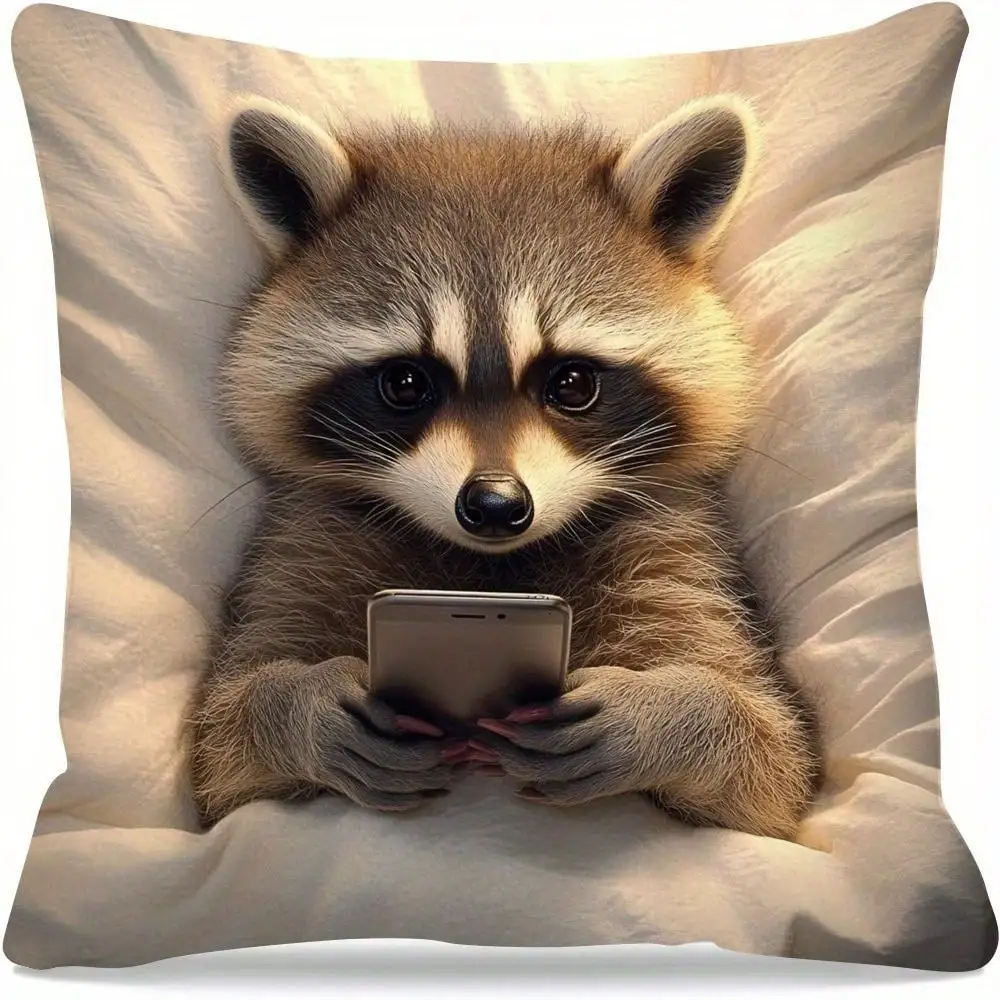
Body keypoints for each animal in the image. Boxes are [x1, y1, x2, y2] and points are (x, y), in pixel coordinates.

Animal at [185, 93, 822, 840]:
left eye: (572, 383)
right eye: (405, 384)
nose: (495, 504)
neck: (490, 571)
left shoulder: (679, 555)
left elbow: (771, 758)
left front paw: (666, 717)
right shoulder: (301, 548)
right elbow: (226, 746)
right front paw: (301, 709)